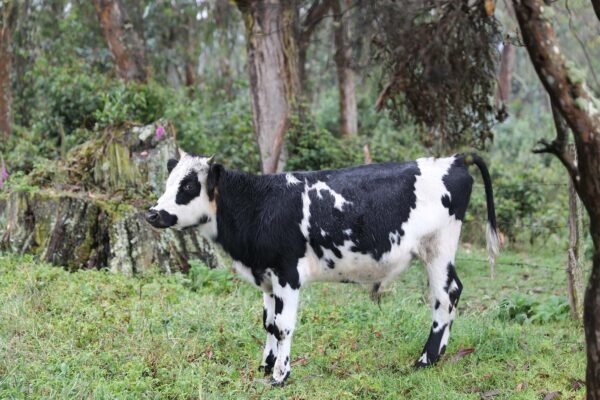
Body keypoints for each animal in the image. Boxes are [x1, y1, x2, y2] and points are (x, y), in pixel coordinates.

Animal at [148, 152, 500, 386]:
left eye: (189, 186)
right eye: (169, 182)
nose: (153, 213)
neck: (259, 205)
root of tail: (453, 158)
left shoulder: (287, 274)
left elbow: (283, 326)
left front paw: (280, 375)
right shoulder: (267, 277)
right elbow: (268, 323)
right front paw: (266, 366)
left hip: (438, 249)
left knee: (446, 296)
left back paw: (426, 359)